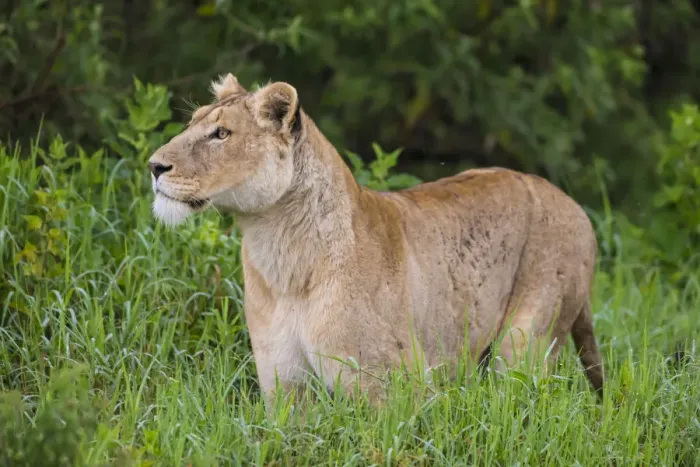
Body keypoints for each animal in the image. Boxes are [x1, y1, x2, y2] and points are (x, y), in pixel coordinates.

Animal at [148, 74, 604, 407]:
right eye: (192, 124)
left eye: (222, 134)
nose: (154, 165)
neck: (279, 253)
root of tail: (574, 204)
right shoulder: (286, 387)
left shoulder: (393, 385)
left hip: (526, 341)